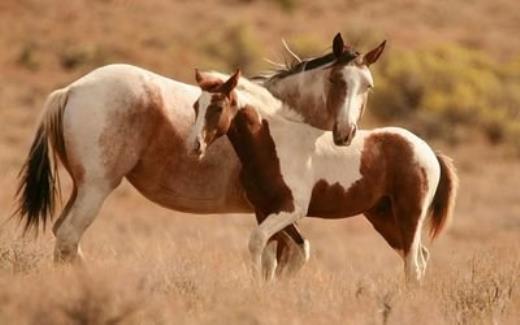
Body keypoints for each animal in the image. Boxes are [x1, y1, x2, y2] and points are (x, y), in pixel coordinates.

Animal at [14, 33, 384, 272]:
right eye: (336, 80)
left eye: (367, 85)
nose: (345, 133)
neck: (277, 120)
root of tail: (71, 90)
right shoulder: (273, 211)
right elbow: (282, 259)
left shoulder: (271, 213)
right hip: (96, 188)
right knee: (68, 238)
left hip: (81, 187)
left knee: (63, 237)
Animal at [189, 69, 458, 282]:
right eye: (196, 106)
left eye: (218, 107)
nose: (195, 146)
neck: (274, 144)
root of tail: (428, 151)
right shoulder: (265, 210)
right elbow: (278, 254)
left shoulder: (291, 209)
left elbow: (258, 242)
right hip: (384, 217)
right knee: (419, 258)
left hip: (409, 215)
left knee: (413, 265)